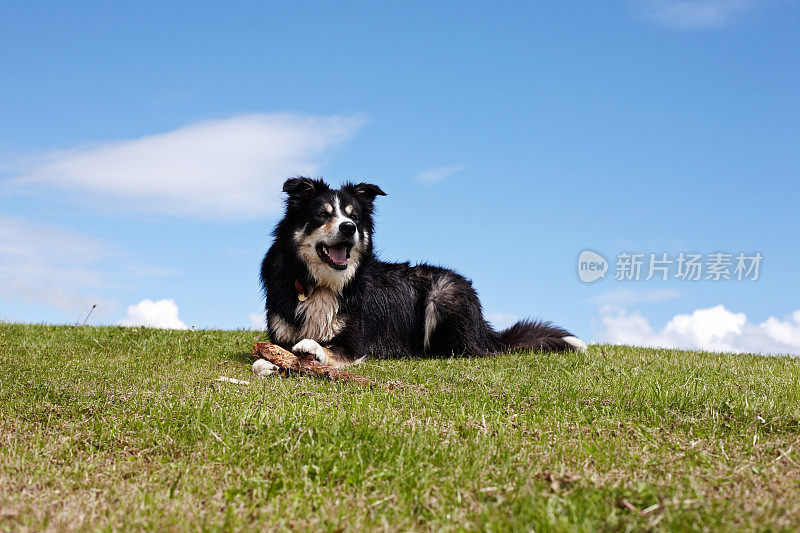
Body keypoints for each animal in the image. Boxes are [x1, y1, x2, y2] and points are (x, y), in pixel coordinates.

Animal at [256, 176, 588, 374]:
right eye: (322, 215)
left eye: (354, 217)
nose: (348, 228)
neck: (323, 282)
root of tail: (485, 331)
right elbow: (265, 359)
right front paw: (269, 364)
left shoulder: (356, 344)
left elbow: (329, 349)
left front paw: (312, 348)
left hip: (444, 294)